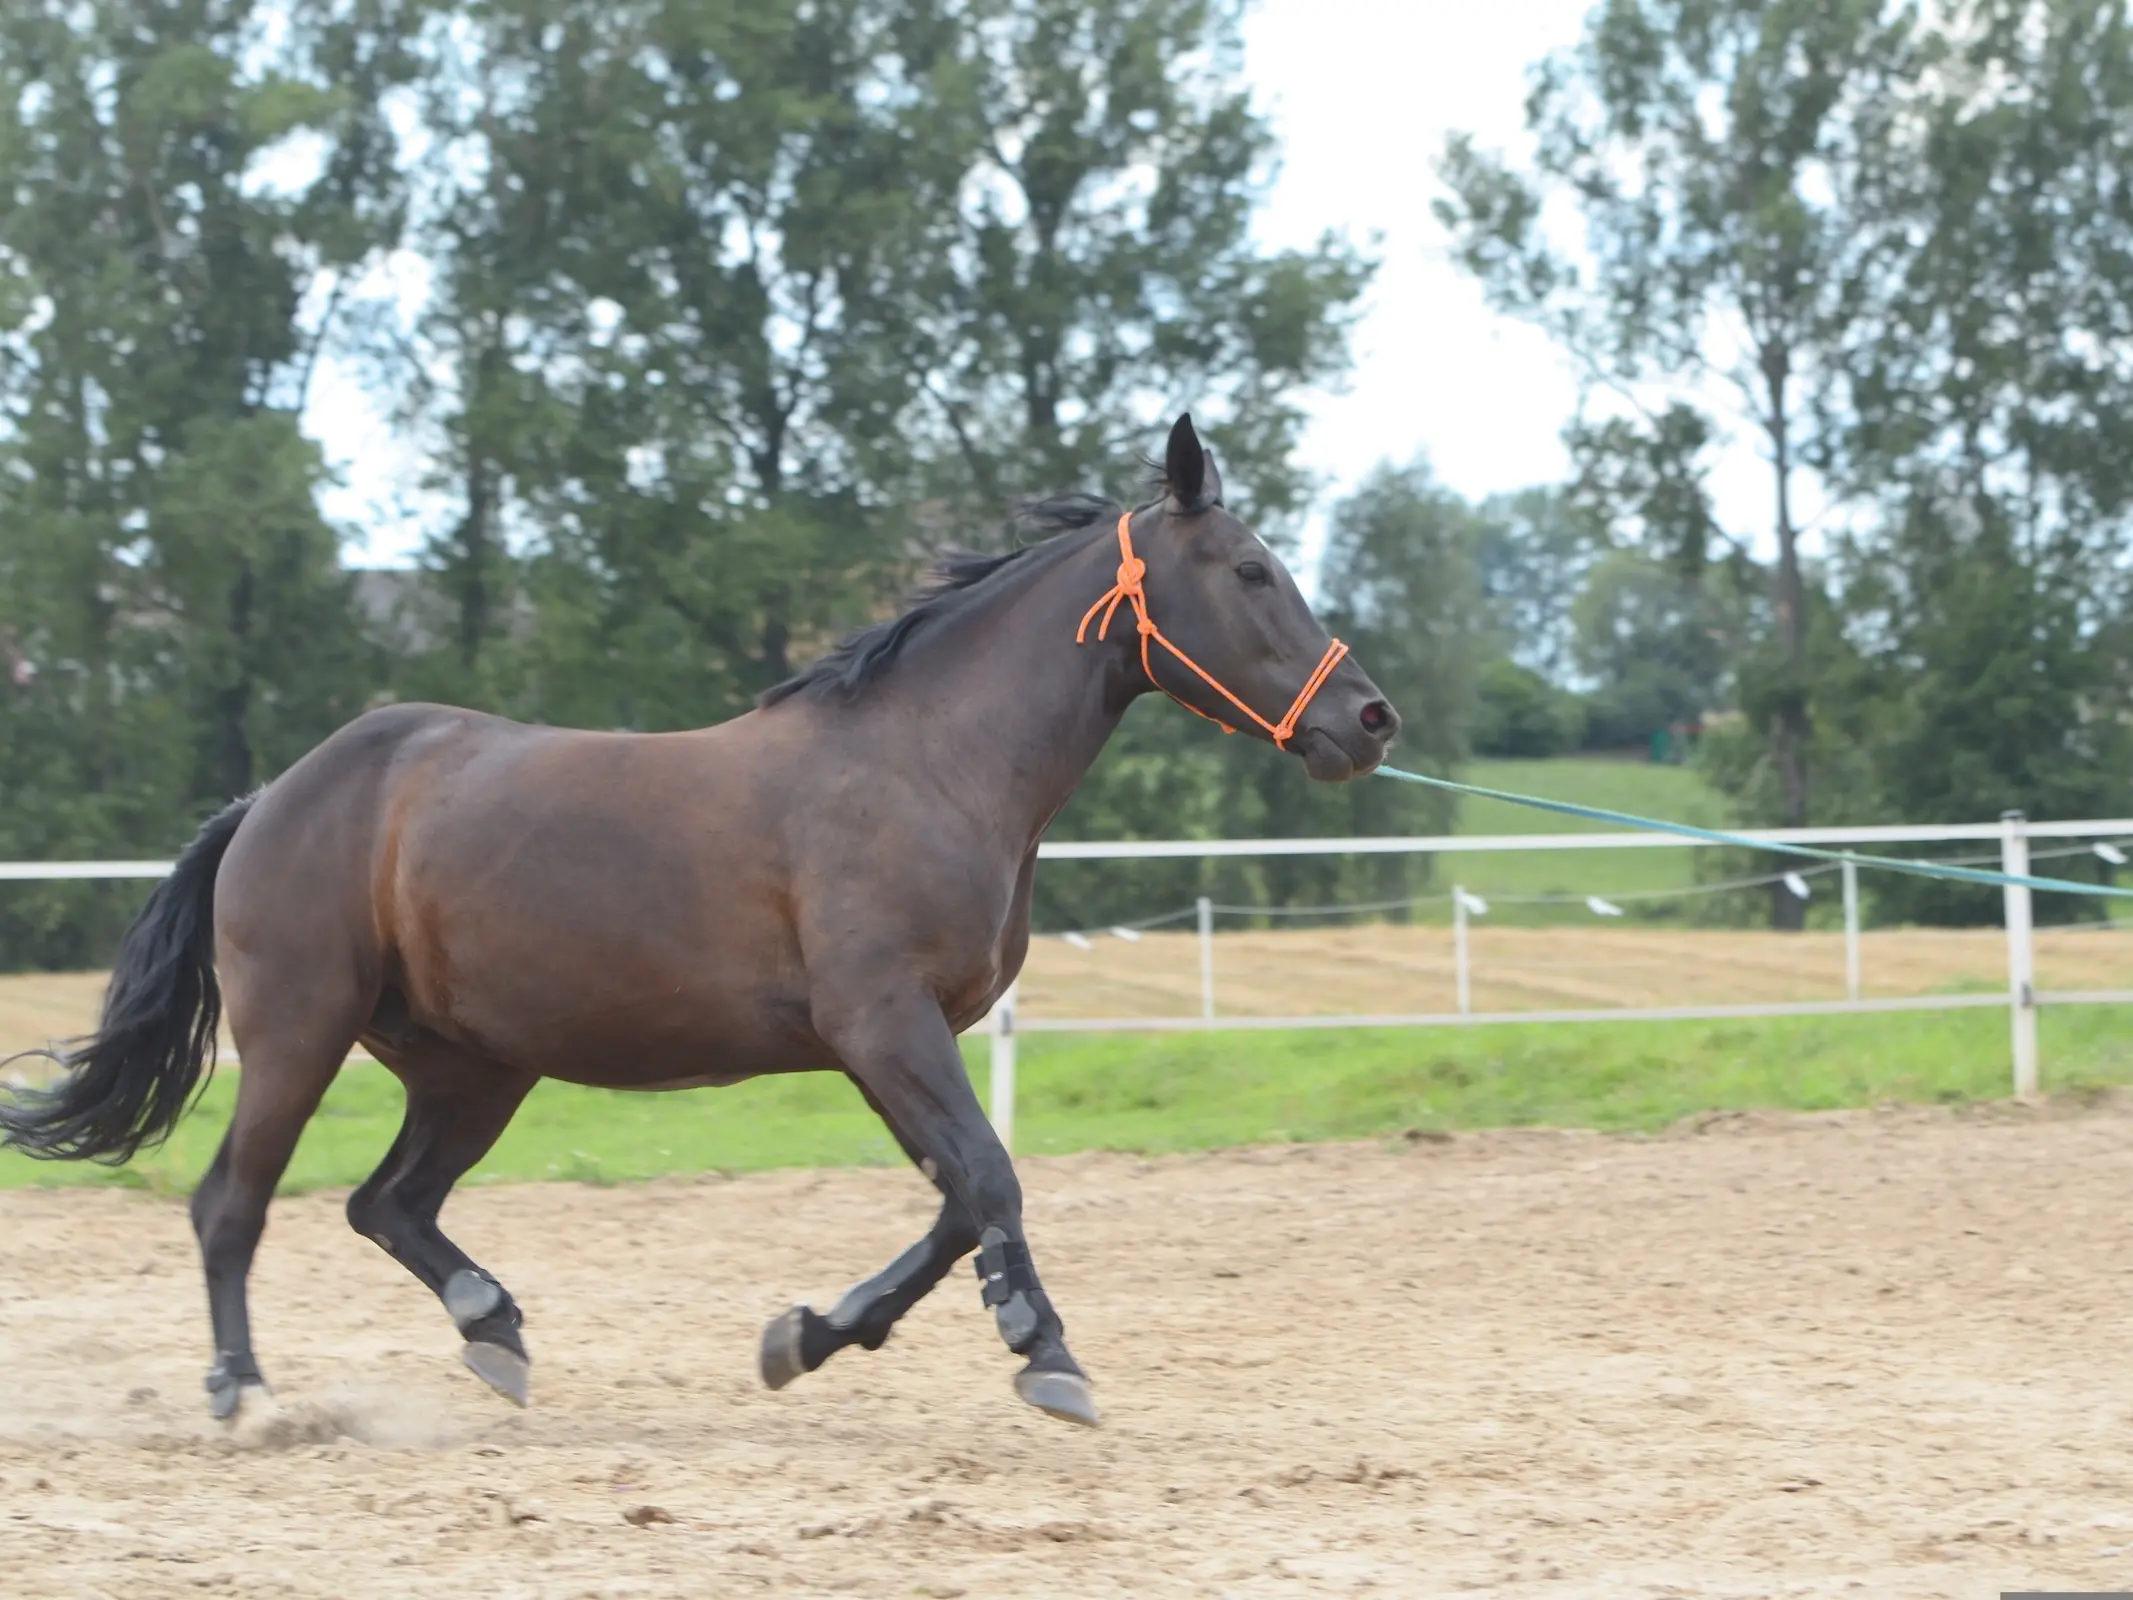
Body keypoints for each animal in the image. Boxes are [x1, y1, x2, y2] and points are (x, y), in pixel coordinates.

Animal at [4, 413, 1399, 1425]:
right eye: (1252, 569)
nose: (1369, 719)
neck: (931, 762)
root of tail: (273, 799)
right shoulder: (884, 1022)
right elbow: (990, 1179)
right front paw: (1043, 1349)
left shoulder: (889, 1041)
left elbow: (959, 1196)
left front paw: (809, 1337)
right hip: (300, 1033)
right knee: (231, 1205)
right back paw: (246, 1395)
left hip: (473, 1067)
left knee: (385, 1203)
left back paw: (493, 1329)